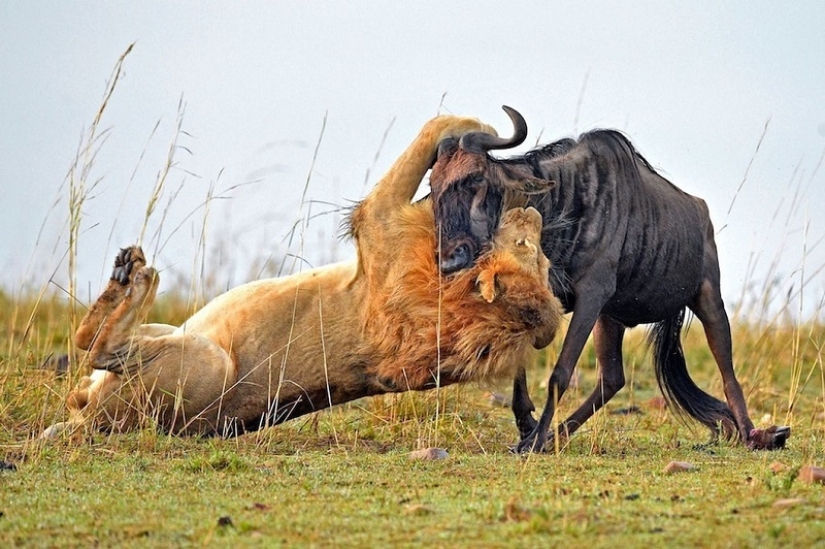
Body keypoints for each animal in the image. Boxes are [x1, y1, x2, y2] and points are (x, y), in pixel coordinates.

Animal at [42, 114, 562, 440]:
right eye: (537, 257)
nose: (534, 216)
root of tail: (94, 422)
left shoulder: (379, 219)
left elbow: (440, 121)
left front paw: (482, 135)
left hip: (207, 362)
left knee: (96, 345)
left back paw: (136, 275)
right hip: (167, 334)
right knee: (88, 360)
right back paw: (124, 276)